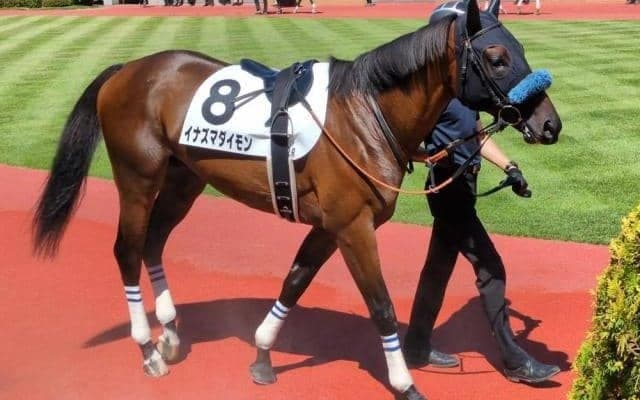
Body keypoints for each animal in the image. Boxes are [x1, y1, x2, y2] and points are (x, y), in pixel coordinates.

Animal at [32, 0, 561, 398]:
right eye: (496, 57)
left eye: (521, 49)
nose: (550, 124)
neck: (363, 114)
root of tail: (127, 69)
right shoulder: (353, 227)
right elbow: (381, 304)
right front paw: (405, 383)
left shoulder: (328, 225)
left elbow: (295, 281)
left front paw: (263, 355)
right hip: (137, 176)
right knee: (126, 250)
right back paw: (146, 347)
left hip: (184, 179)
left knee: (153, 242)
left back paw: (171, 335)